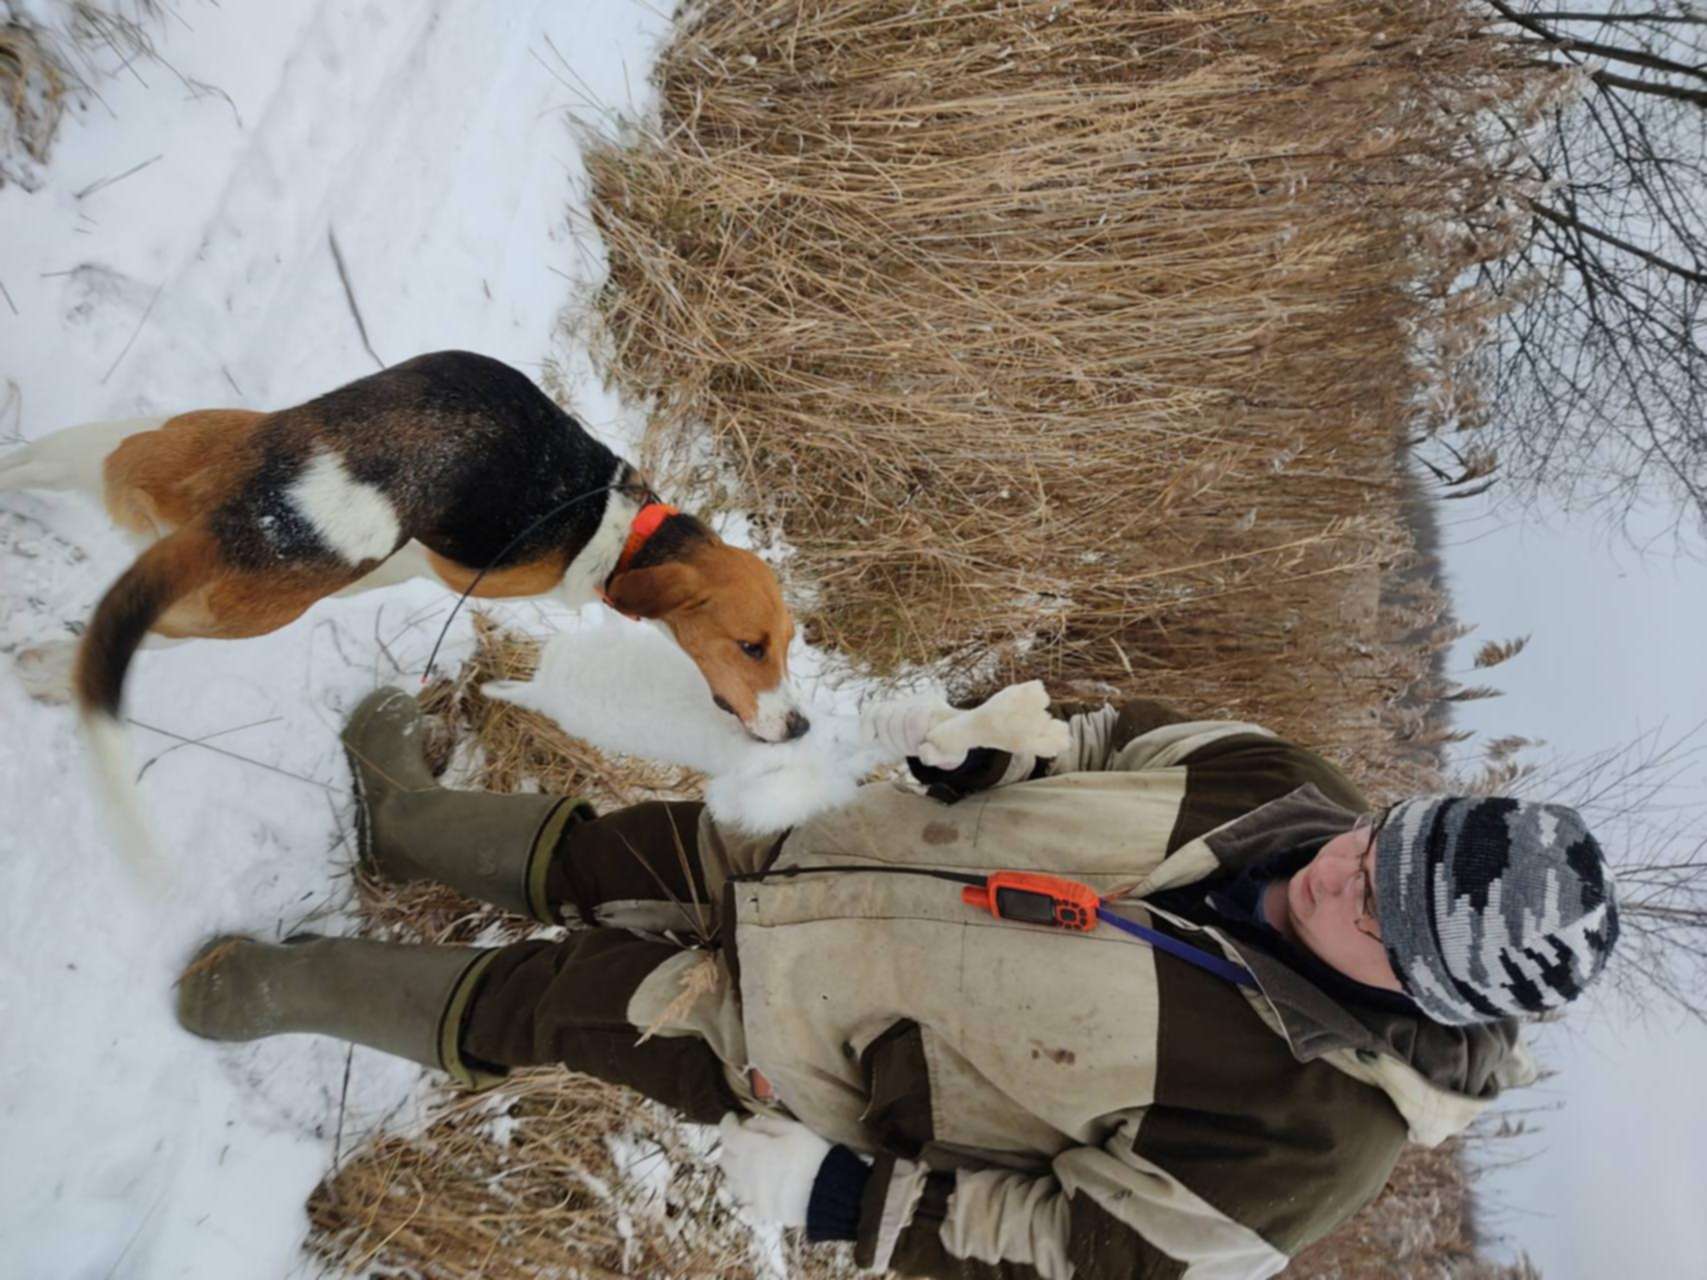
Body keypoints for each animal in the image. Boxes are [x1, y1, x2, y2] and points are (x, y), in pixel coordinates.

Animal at [0, 353, 805, 843]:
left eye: (789, 644)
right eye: (750, 647)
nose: (799, 728)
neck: (628, 524)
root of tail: (260, 505)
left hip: (130, 445)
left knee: (30, 465)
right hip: (230, 613)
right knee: (122, 643)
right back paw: (44, 671)